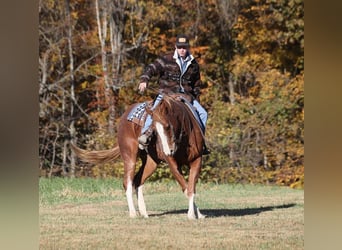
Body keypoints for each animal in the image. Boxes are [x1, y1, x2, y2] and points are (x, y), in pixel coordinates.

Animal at [72, 93, 204, 219]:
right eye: (154, 129)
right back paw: (133, 213)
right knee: (128, 182)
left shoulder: (197, 160)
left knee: (138, 180)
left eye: (167, 126)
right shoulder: (172, 163)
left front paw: (197, 214)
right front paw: (192, 214)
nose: (168, 151)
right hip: (130, 157)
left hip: (151, 162)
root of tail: (125, 116)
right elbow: (186, 187)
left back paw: (144, 213)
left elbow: (191, 187)